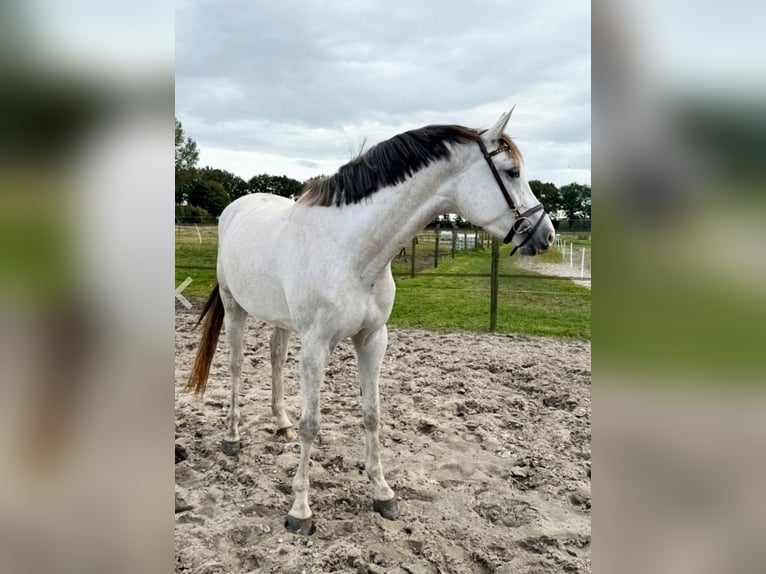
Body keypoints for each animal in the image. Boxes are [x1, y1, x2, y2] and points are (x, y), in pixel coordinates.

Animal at [186, 111, 560, 536]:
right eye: (512, 172)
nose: (547, 235)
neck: (351, 251)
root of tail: (236, 207)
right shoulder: (316, 346)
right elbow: (311, 423)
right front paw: (300, 510)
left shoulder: (372, 339)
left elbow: (372, 414)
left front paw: (383, 493)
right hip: (235, 310)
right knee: (234, 368)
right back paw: (232, 438)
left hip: (281, 320)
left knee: (276, 358)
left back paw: (280, 423)